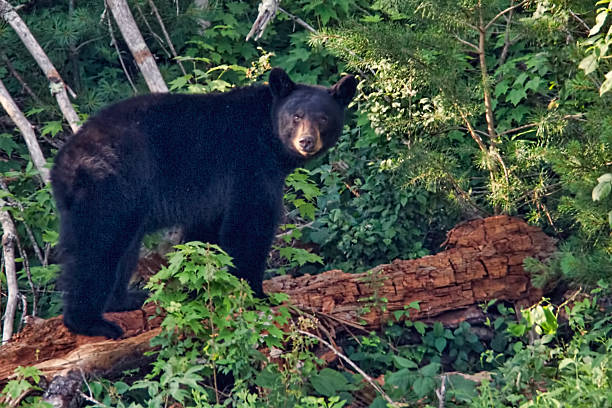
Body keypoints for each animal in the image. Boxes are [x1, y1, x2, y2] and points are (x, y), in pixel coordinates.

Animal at [52, 68, 358, 340]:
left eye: (323, 117)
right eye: (296, 116)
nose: (306, 141)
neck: (268, 136)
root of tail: (63, 162)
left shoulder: (213, 194)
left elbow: (203, 235)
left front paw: (198, 288)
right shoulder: (249, 165)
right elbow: (249, 226)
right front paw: (256, 293)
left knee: (123, 250)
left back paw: (127, 299)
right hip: (110, 187)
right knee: (97, 249)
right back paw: (92, 323)